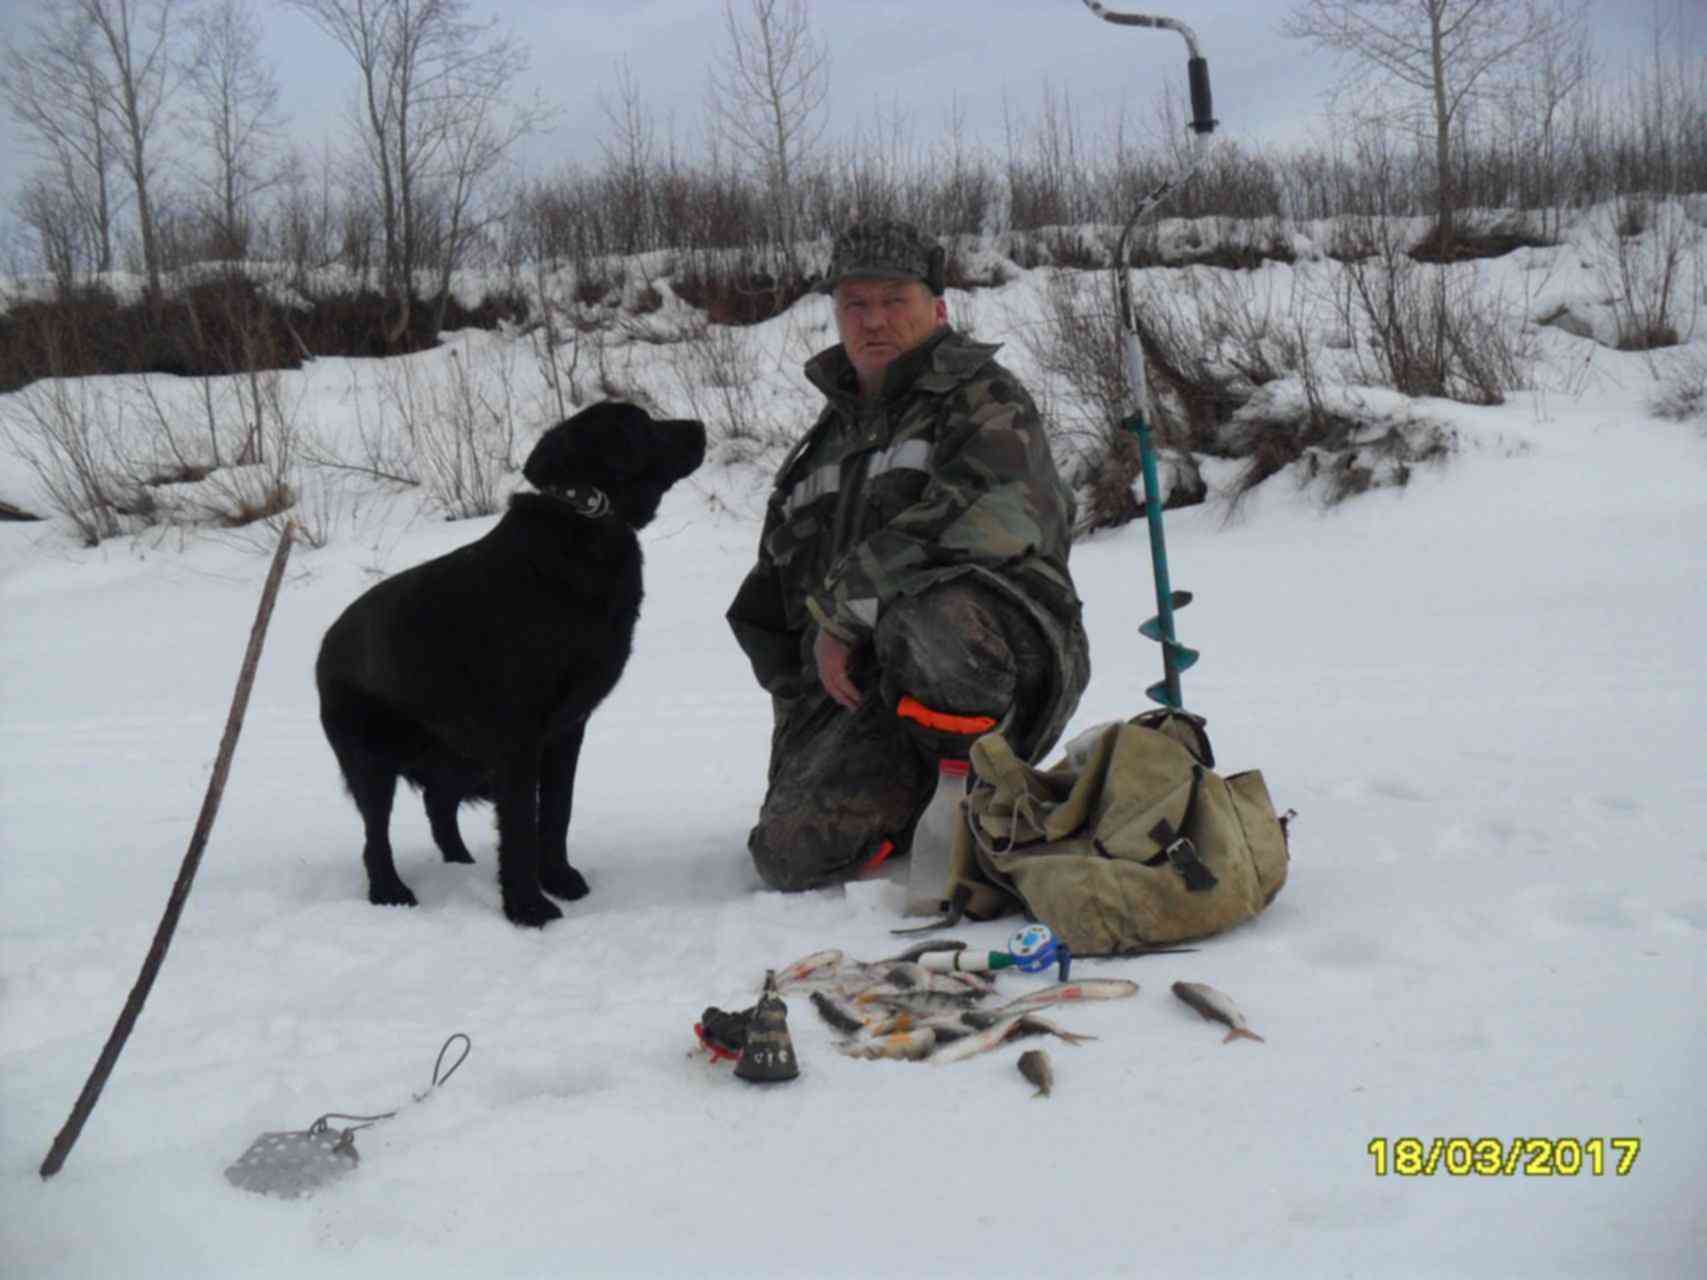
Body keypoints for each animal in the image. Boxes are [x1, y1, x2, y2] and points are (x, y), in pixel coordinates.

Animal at [317, 406, 703, 928]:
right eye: (642, 425)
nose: (700, 427)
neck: (583, 524)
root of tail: (325, 645)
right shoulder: (518, 737)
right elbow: (521, 825)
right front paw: (528, 908)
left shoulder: (565, 730)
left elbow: (556, 813)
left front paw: (558, 879)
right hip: (373, 762)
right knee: (375, 837)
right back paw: (390, 892)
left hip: (454, 756)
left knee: (438, 808)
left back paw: (459, 865)